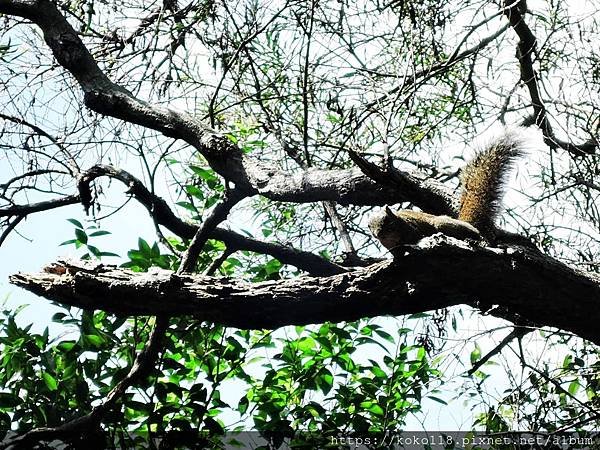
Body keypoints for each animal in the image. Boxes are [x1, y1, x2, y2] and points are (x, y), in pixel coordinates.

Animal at [368, 130, 524, 251]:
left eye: (387, 222)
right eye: (370, 228)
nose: (379, 234)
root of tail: (470, 224)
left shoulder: (411, 228)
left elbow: (416, 237)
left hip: (443, 224)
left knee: (475, 235)